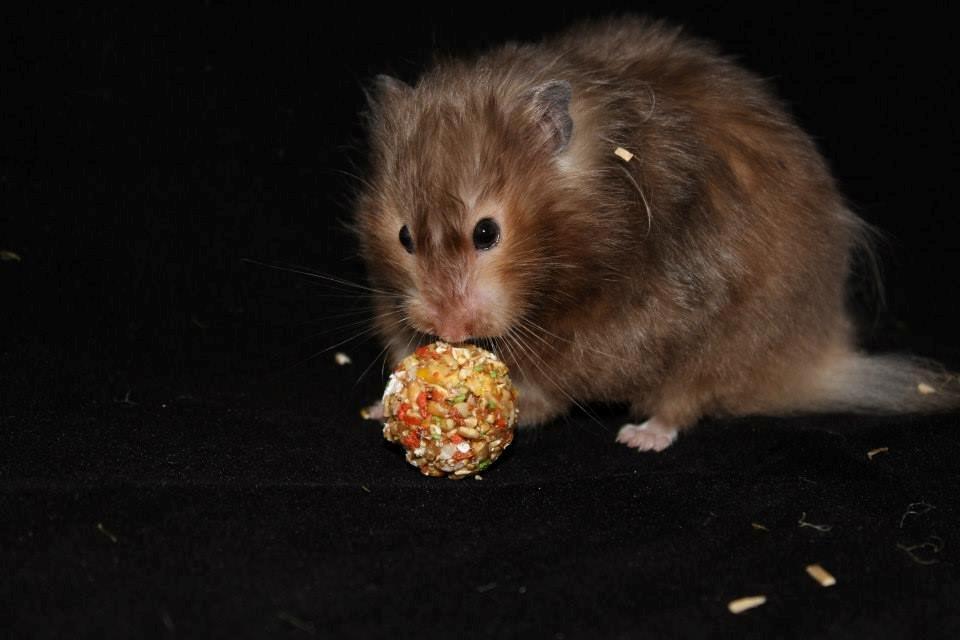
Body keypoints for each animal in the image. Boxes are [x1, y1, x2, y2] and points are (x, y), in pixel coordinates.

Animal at [352, 16, 958, 451]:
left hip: (726, 344)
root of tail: (817, 354)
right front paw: (385, 403)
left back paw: (641, 437)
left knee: (686, 398)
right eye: (404, 237)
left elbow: (560, 379)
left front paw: (515, 403)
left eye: (486, 232)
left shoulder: (629, 324)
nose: (448, 330)